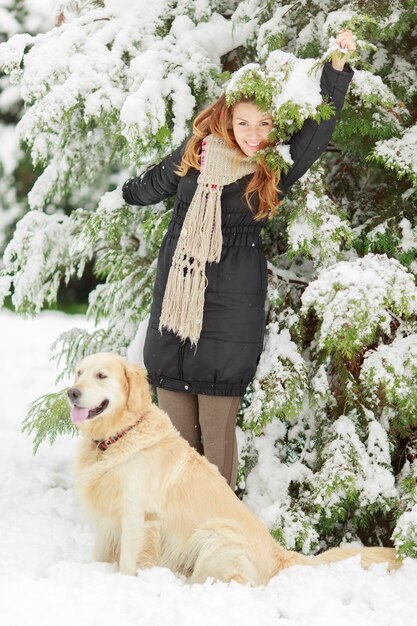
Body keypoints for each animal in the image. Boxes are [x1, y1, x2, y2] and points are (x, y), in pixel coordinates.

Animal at [67, 352, 400, 584]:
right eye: (79, 373)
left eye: (101, 375)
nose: (71, 392)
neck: (118, 437)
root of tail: (279, 554)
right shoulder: (105, 518)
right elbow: (99, 553)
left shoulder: (137, 515)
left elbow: (127, 561)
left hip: (215, 537)